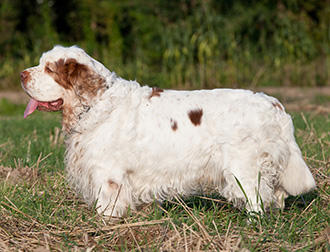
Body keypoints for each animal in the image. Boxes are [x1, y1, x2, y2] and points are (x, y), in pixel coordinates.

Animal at [20, 45, 314, 219]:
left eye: (49, 69)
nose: (22, 75)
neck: (97, 102)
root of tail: (274, 104)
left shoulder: (108, 174)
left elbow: (107, 206)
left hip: (244, 168)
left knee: (257, 198)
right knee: (277, 195)